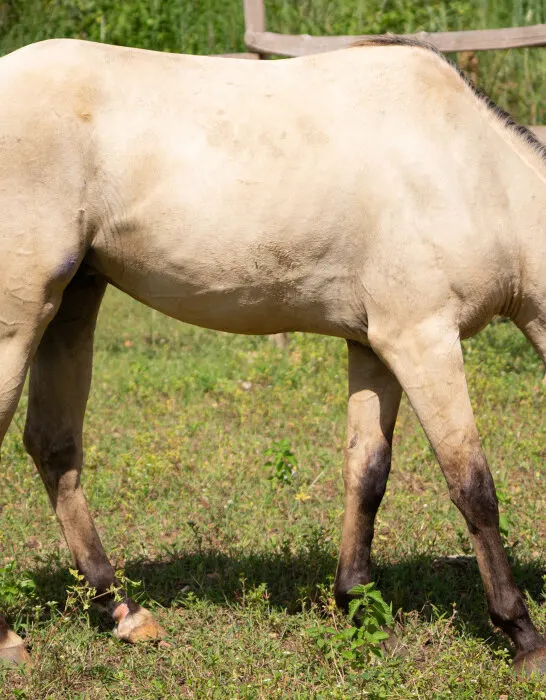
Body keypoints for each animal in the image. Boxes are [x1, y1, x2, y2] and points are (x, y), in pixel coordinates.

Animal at [0, 36, 544, 673]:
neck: (472, 170)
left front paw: (360, 608)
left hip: (74, 300)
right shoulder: (424, 339)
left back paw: (125, 613)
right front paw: (522, 635)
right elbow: (472, 486)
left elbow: (368, 473)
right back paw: (11, 638)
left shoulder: (375, 344)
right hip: (20, 320)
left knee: (54, 446)